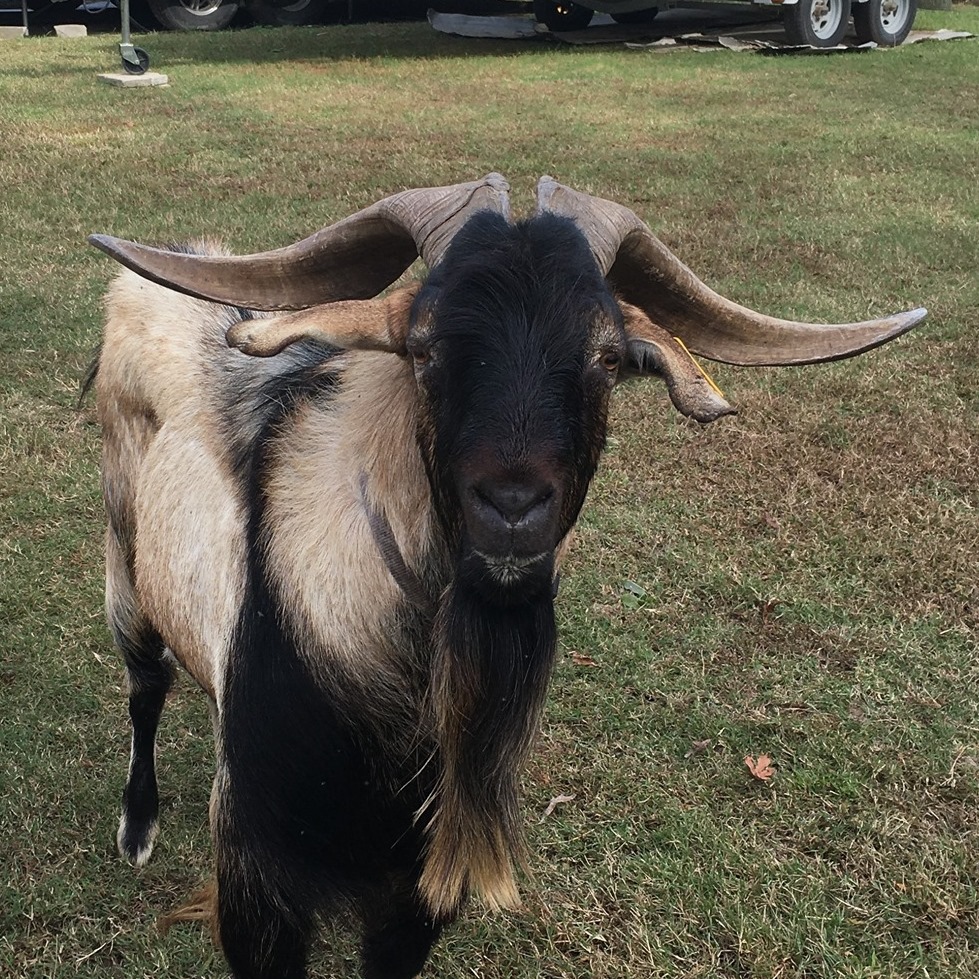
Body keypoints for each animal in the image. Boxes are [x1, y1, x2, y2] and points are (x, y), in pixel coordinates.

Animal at [89, 174, 924, 979]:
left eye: (608, 357)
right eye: (423, 348)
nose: (513, 507)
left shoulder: (415, 891)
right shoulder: (256, 887)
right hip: (124, 559)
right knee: (144, 682)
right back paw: (136, 826)